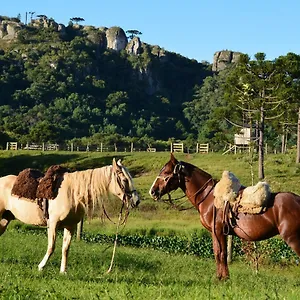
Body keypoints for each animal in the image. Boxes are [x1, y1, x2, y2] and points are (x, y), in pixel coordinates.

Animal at [0, 158, 139, 274]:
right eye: (125, 180)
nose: (136, 201)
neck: (72, 193)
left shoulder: (70, 226)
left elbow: (65, 249)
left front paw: (63, 271)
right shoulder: (53, 224)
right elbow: (51, 247)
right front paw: (41, 266)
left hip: (5, 219)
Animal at [150, 154, 300, 280]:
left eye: (166, 173)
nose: (153, 191)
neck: (210, 198)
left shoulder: (218, 231)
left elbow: (220, 253)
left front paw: (222, 278)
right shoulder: (217, 232)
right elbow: (220, 253)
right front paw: (222, 277)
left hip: (293, 238)